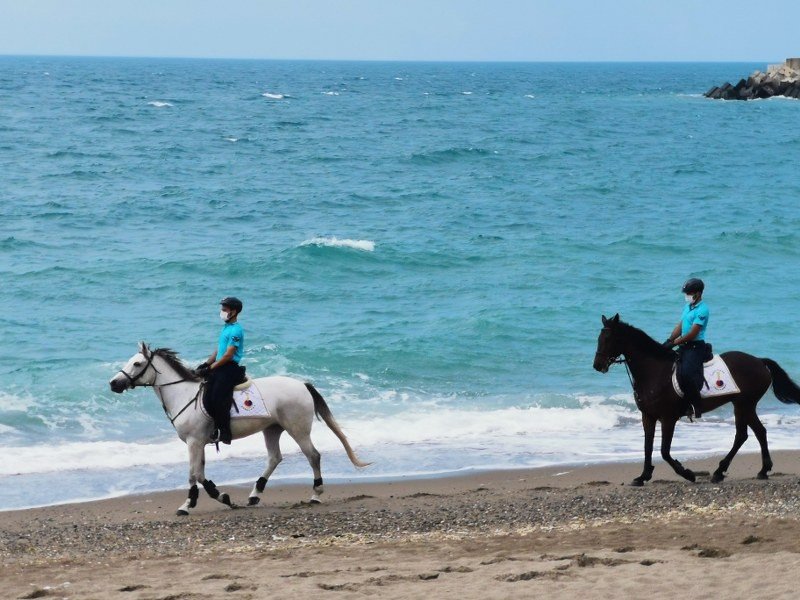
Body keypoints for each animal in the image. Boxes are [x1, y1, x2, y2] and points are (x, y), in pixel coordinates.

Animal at [108, 342, 370, 516]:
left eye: (137, 363)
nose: (113, 383)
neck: (183, 393)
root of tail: (303, 385)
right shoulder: (199, 443)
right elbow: (200, 473)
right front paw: (220, 496)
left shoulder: (194, 442)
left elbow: (193, 474)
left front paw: (189, 504)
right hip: (272, 429)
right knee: (275, 458)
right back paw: (255, 494)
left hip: (298, 429)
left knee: (313, 456)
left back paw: (315, 494)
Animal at [592, 314, 800, 488]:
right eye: (599, 338)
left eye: (608, 339)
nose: (597, 365)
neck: (654, 372)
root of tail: (759, 361)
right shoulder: (648, 416)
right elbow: (647, 447)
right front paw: (643, 476)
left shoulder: (668, 418)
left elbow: (664, 451)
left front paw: (687, 473)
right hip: (742, 405)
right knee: (754, 433)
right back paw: (754, 471)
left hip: (744, 405)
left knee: (746, 434)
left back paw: (724, 471)